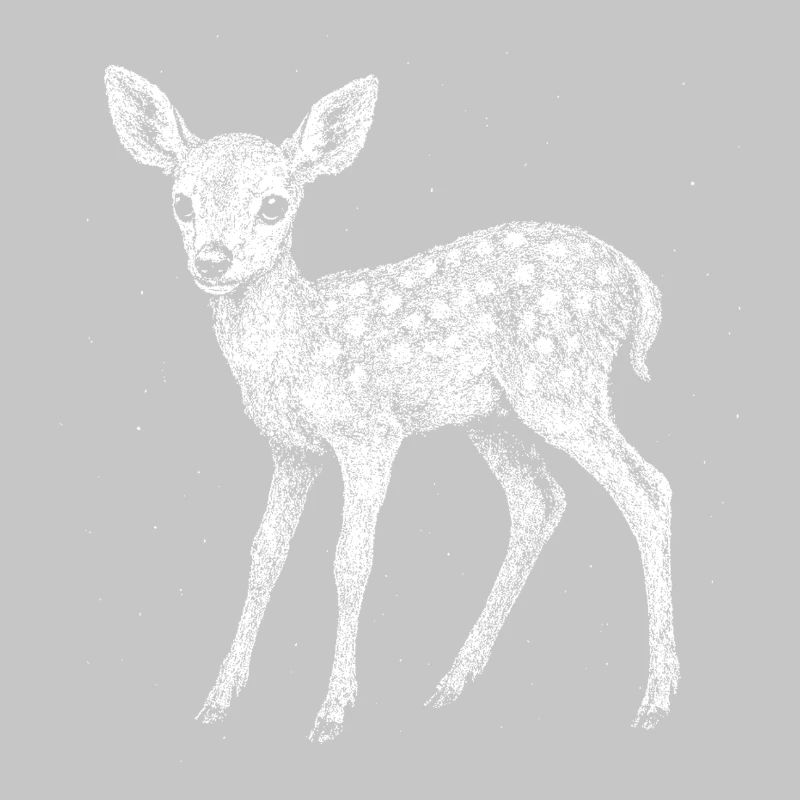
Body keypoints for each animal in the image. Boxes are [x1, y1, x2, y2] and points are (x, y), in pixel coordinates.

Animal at [104, 65, 679, 742]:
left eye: (274, 204)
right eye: (182, 202)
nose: (213, 260)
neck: (296, 343)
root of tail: (639, 284)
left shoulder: (368, 433)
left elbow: (350, 559)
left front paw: (332, 710)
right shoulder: (292, 449)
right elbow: (265, 552)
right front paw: (219, 698)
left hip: (561, 384)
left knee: (647, 488)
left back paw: (657, 699)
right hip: (494, 416)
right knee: (540, 501)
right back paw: (453, 681)